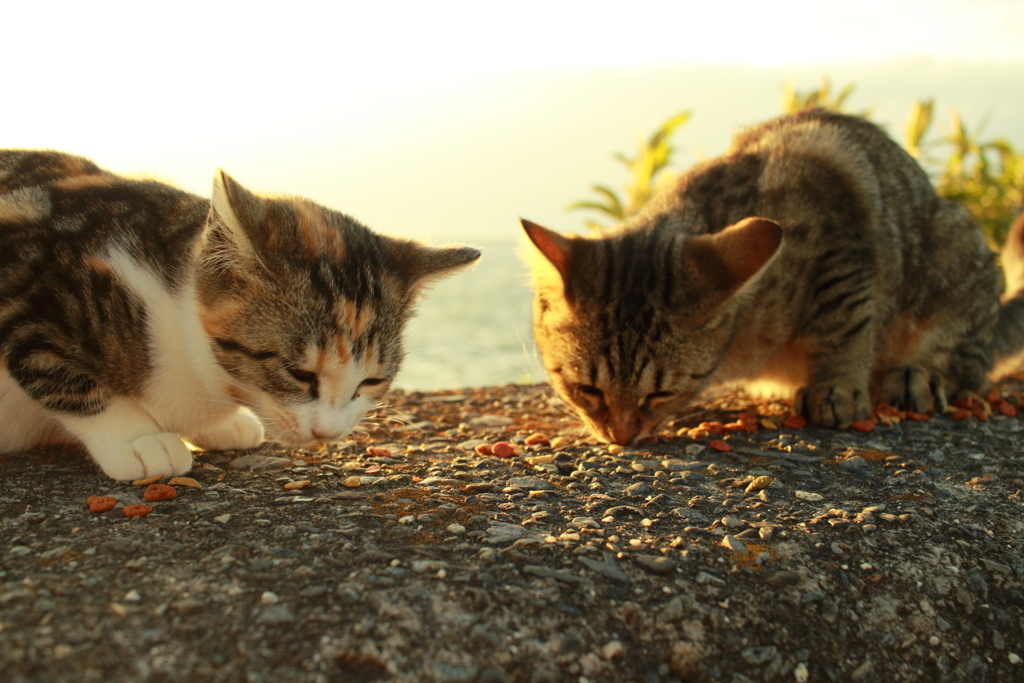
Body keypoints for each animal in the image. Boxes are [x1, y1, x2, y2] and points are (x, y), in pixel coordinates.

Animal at [0, 149, 479, 481]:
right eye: (299, 373)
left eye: (371, 381)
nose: (328, 434)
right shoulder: (27, 278)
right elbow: (56, 366)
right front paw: (139, 437)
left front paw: (222, 426)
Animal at [524, 108, 1024, 444]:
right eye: (587, 389)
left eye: (660, 393)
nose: (622, 437)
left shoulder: (838, 233)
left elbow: (844, 323)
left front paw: (838, 387)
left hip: (955, 260)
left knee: (969, 367)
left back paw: (915, 377)